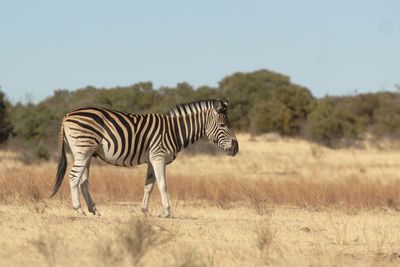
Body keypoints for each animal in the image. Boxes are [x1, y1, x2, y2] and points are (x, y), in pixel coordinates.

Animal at [50, 99, 238, 218]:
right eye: (223, 125)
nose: (236, 149)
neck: (174, 131)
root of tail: (68, 115)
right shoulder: (159, 157)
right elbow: (162, 184)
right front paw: (167, 212)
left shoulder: (151, 160)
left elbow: (149, 185)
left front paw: (145, 211)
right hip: (83, 150)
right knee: (73, 178)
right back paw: (79, 210)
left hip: (86, 153)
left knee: (83, 181)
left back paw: (93, 210)